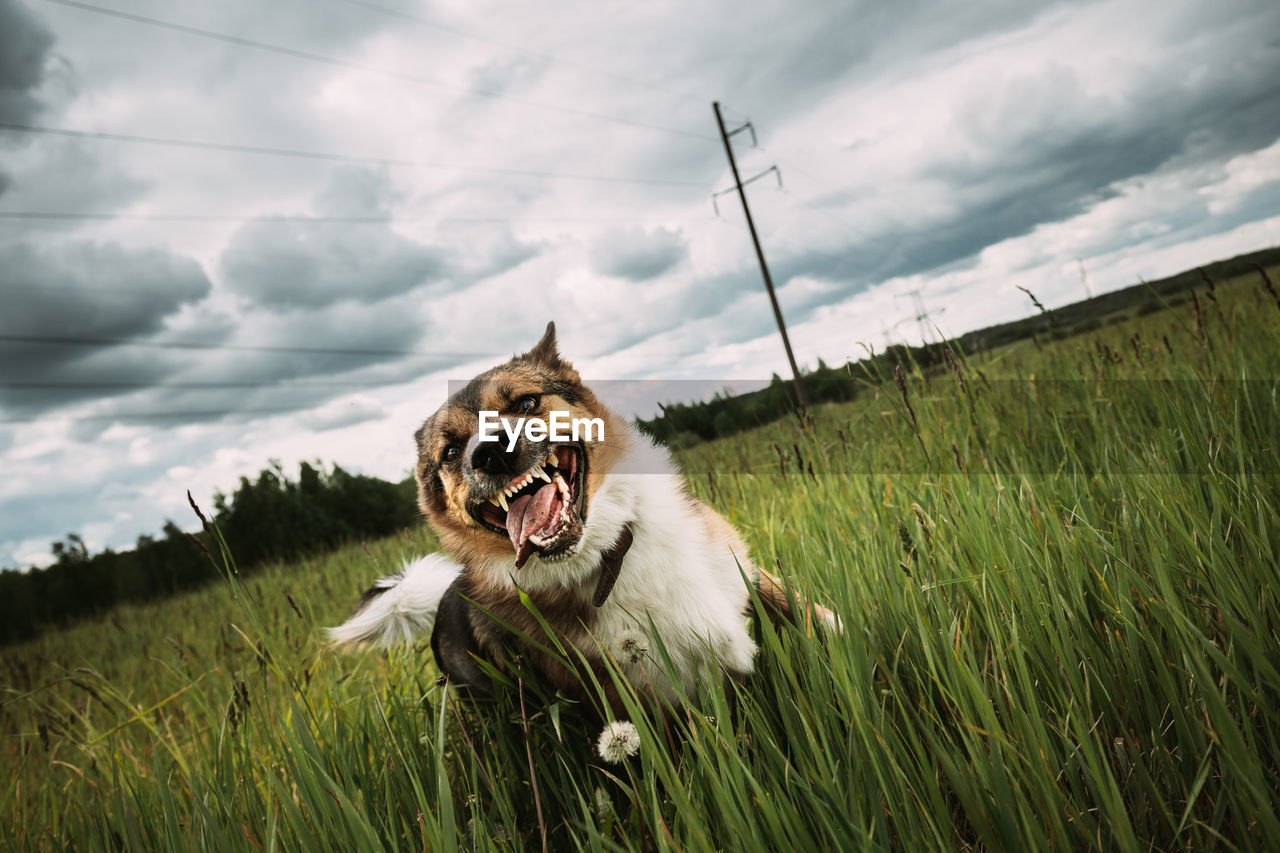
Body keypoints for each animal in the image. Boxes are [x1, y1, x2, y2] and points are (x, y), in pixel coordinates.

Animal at [327, 322, 839, 712]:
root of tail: (445, 599)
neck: (610, 553)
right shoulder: (650, 701)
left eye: (526, 403)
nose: (490, 452)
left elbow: (806, 612)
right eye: (451, 452)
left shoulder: (742, 570)